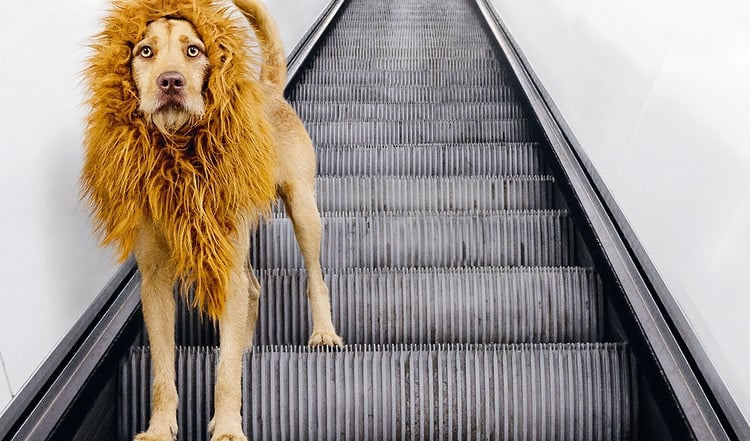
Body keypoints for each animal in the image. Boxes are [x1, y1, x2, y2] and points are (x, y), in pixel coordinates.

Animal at [80, 0, 344, 440]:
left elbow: (225, 371)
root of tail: (267, 87)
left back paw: (323, 332)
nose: (171, 83)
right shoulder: (155, 282)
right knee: (254, 289)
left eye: (194, 50)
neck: (180, 155)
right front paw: (160, 427)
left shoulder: (228, 268)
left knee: (315, 276)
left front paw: (228, 427)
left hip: (303, 209)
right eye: (145, 51)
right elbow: (162, 370)